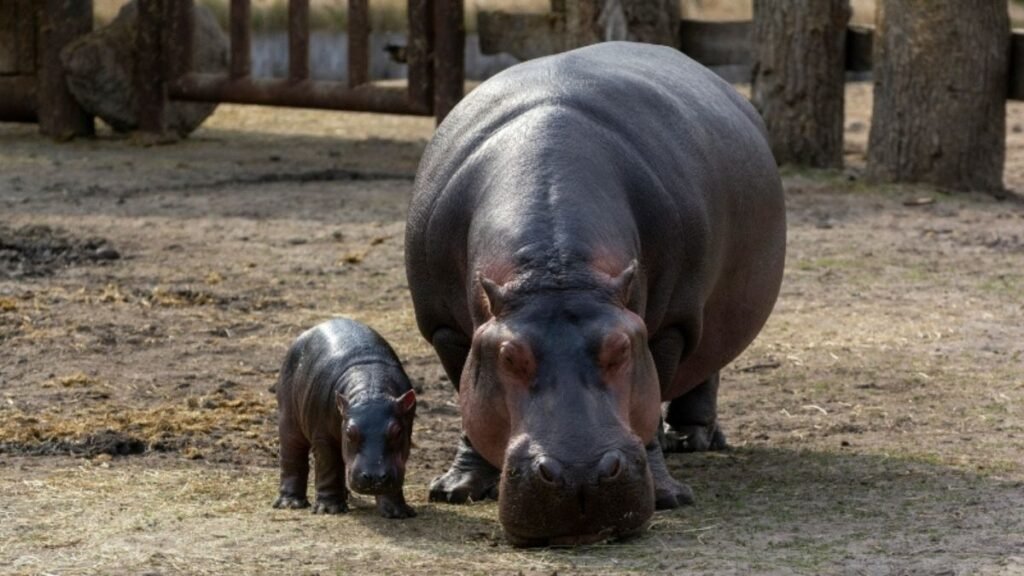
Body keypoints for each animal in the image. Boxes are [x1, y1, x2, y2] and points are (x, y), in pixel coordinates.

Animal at [273, 318, 418, 519]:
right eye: (349, 432)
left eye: (397, 431)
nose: (374, 476)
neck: (371, 387)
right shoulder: (323, 437)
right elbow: (328, 468)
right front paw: (329, 509)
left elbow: (396, 470)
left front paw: (397, 512)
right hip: (289, 419)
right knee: (292, 456)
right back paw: (291, 504)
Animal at [405, 41, 785, 545]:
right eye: (508, 356)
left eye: (621, 348)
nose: (578, 475)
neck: (557, 271)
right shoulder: (444, 328)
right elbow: (467, 401)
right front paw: (456, 489)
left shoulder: (669, 326)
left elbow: (652, 402)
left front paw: (669, 496)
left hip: (709, 312)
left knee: (707, 367)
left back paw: (690, 440)